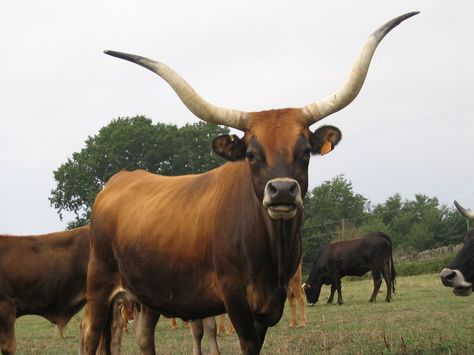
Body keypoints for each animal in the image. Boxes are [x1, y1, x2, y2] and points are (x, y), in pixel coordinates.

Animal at [82, 12, 418, 354]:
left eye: (305, 151)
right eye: (252, 154)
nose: (282, 190)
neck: (272, 248)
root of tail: (117, 180)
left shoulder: (271, 302)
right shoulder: (234, 297)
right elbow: (244, 341)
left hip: (149, 292)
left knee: (143, 335)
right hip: (99, 285)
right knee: (90, 333)